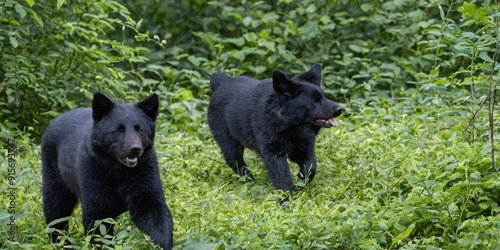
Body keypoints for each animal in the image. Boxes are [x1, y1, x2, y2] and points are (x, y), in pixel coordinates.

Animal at [41, 93, 174, 249]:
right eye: (118, 130)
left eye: (140, 129)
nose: (135, 149)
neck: (119, 169)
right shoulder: (93, 173)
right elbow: (98, 220)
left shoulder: (144, 171)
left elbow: (153, 210)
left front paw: (163, 243)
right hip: (54, 172)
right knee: (56, 210)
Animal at [207, 63, 344, 202]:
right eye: (315, 101)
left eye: (324, 97)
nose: (340, 109)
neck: (289, 126)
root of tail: (222, 83)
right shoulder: (274, 154)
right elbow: (281, 177)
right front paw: (285, 199)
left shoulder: (303, 148)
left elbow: (311, 167)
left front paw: (301, 180)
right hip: (229, 144)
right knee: (234, 161)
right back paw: (248, 178)